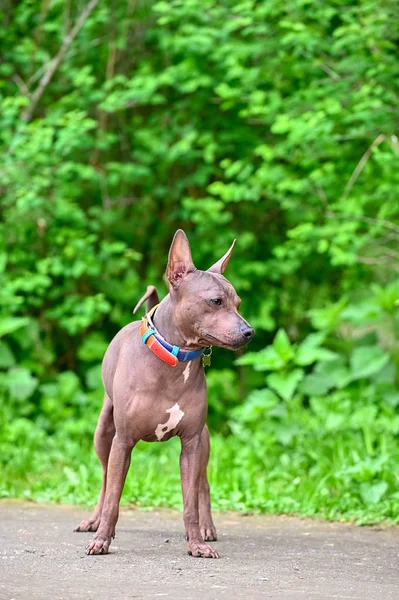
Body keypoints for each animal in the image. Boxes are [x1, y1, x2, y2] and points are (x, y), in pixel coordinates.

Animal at [74, 229, 255, 556]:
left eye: (238, 302)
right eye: (215, 301)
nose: (250, 332)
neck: (173, 360)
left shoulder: (192, 444)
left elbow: (190, 502)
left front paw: (196, 543)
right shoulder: (123, 442)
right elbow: (113, 498)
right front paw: (102, 540)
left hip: (204, 441)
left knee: (202, 484)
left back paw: (207, 528)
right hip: (104, 435)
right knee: (105, 481)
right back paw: (93, 522)